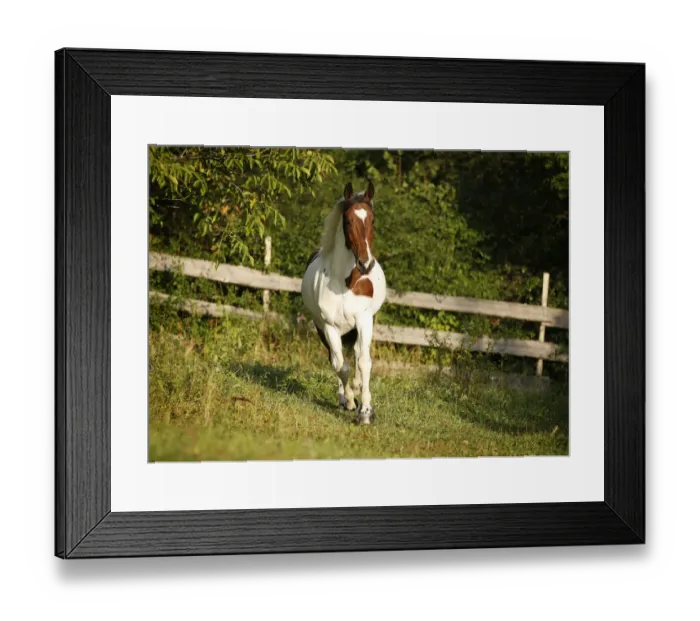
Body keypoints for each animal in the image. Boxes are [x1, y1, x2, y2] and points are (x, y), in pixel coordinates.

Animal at [301, 181, 387, 425]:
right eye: (347, 220)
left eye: (372, 220)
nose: (366, 264)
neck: (345, 283)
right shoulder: (330, 327)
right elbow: (341, 366)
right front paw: (350, 402)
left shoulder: (364, 320)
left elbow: (364, 362)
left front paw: (366, 411)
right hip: (324, 330)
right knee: (335, 360)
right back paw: (344, 397)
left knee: (357, 353)